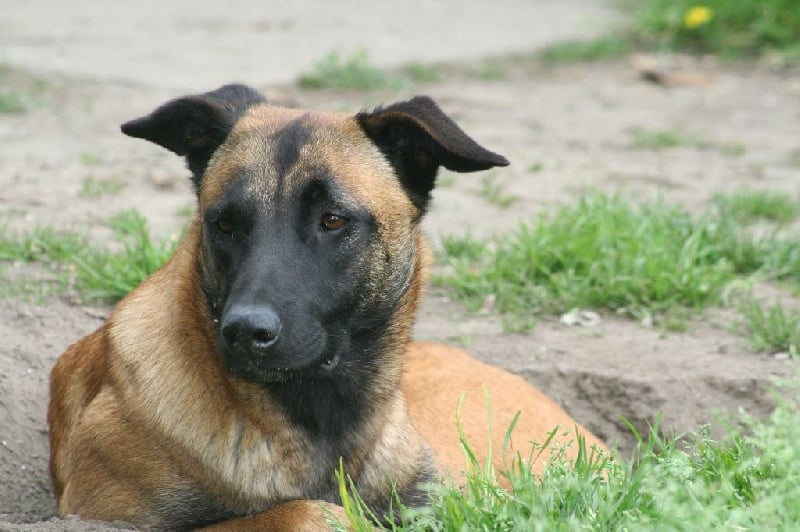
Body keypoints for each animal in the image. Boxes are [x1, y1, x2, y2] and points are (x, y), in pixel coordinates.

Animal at [48, 84, 606, 530]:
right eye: (224, 224)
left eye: (333, 220)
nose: (245, 332)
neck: (322, 425)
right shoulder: (106, 514)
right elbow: (302, 511)